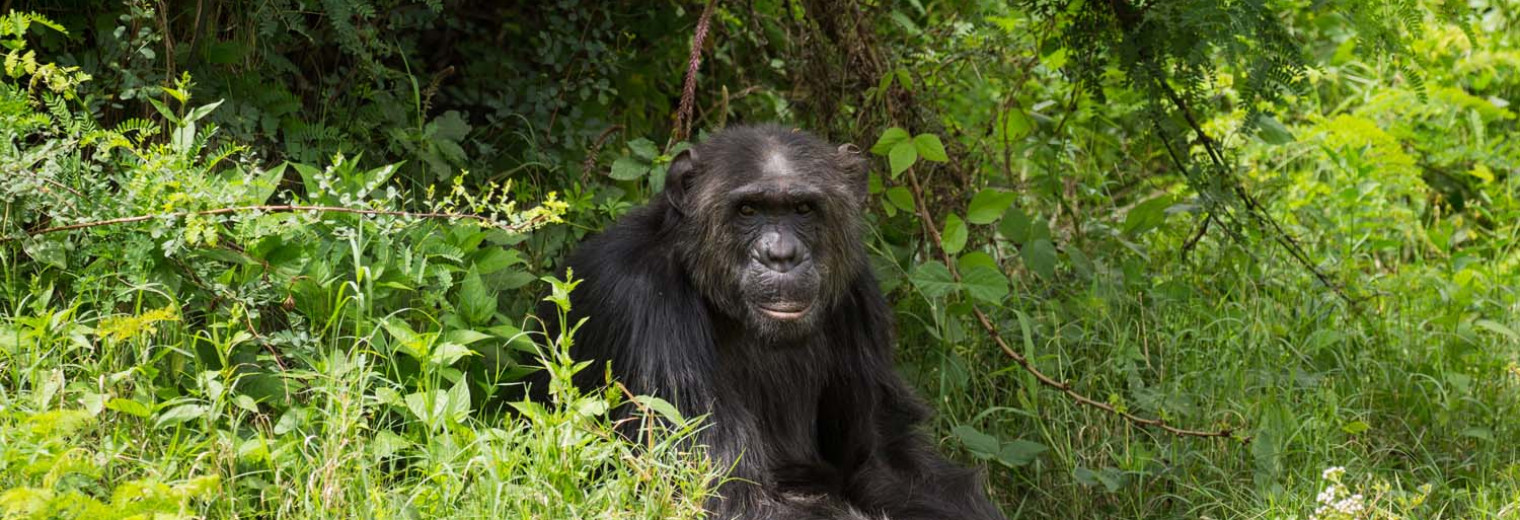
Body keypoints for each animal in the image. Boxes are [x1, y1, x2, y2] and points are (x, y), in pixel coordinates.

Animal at [538, 123, 1009, 516]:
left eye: (803, 208)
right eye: (748, 210)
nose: (781, 254)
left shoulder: (858, 292)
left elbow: (884, 462)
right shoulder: (642, 305)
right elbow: (721, 489)